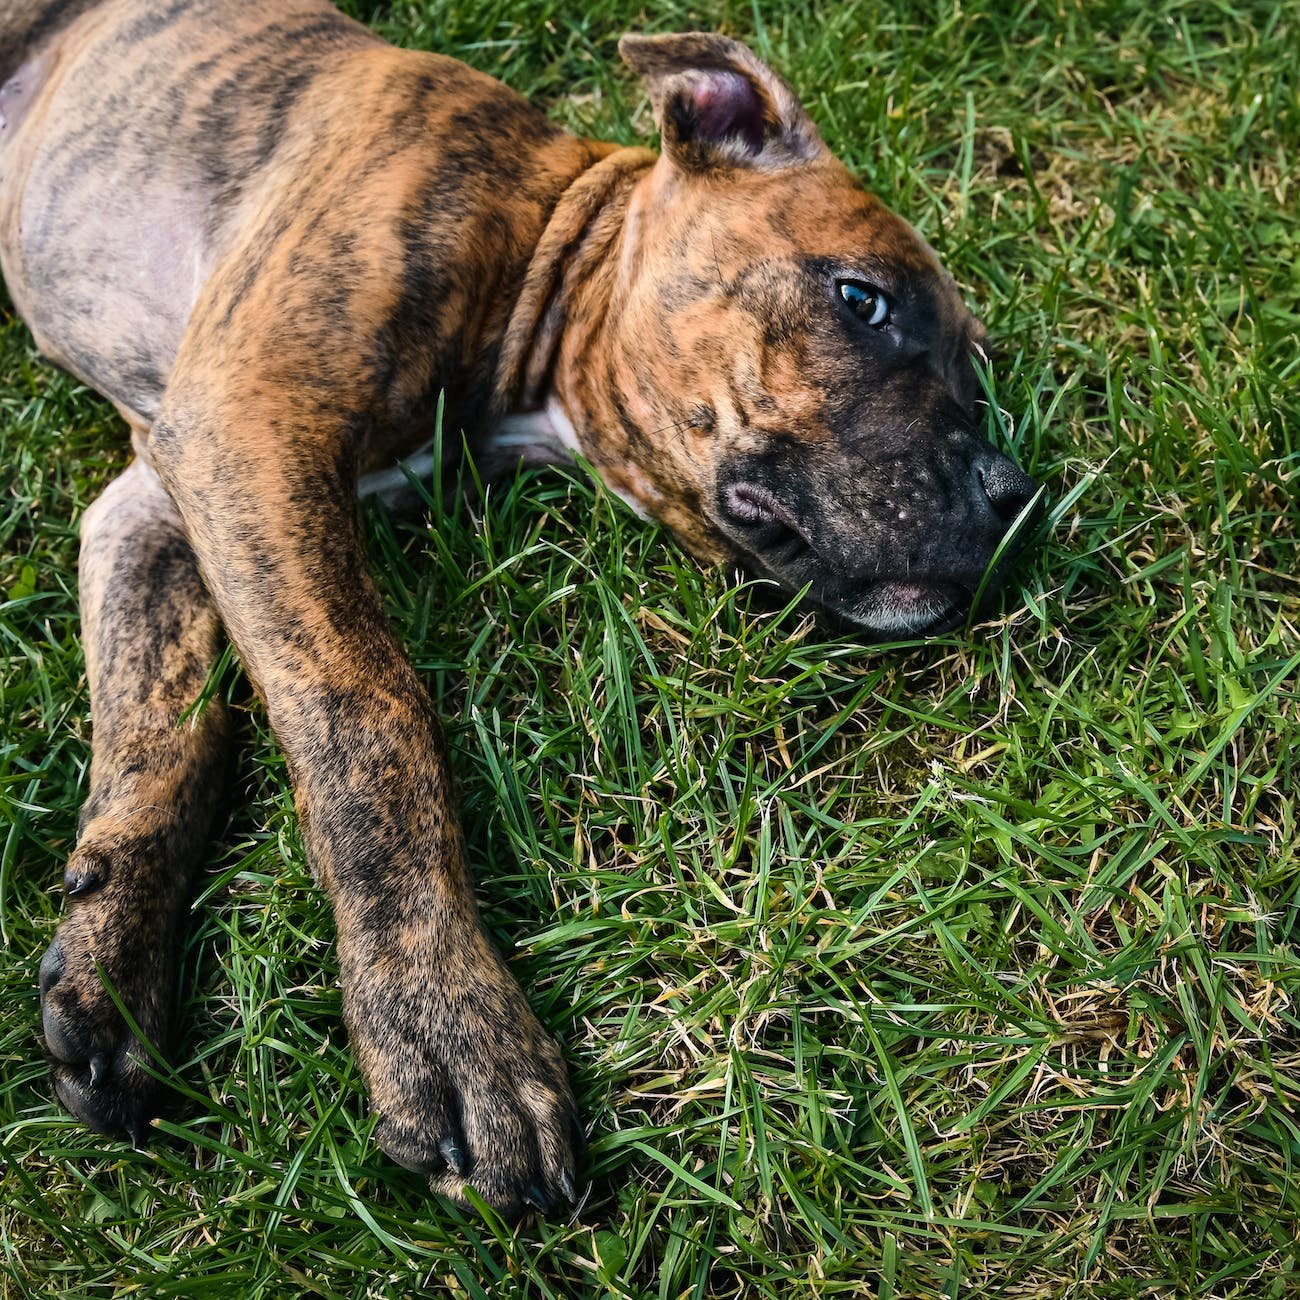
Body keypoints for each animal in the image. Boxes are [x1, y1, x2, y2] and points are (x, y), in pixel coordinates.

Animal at [0, 2, 1034, 1216]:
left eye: (974, 379)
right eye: (859, 300)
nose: (1015, 500)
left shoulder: (159, 499)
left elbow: (166, 733)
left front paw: (107, 964)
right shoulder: (247, 426)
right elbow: (365, 713)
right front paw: (448, 1029)